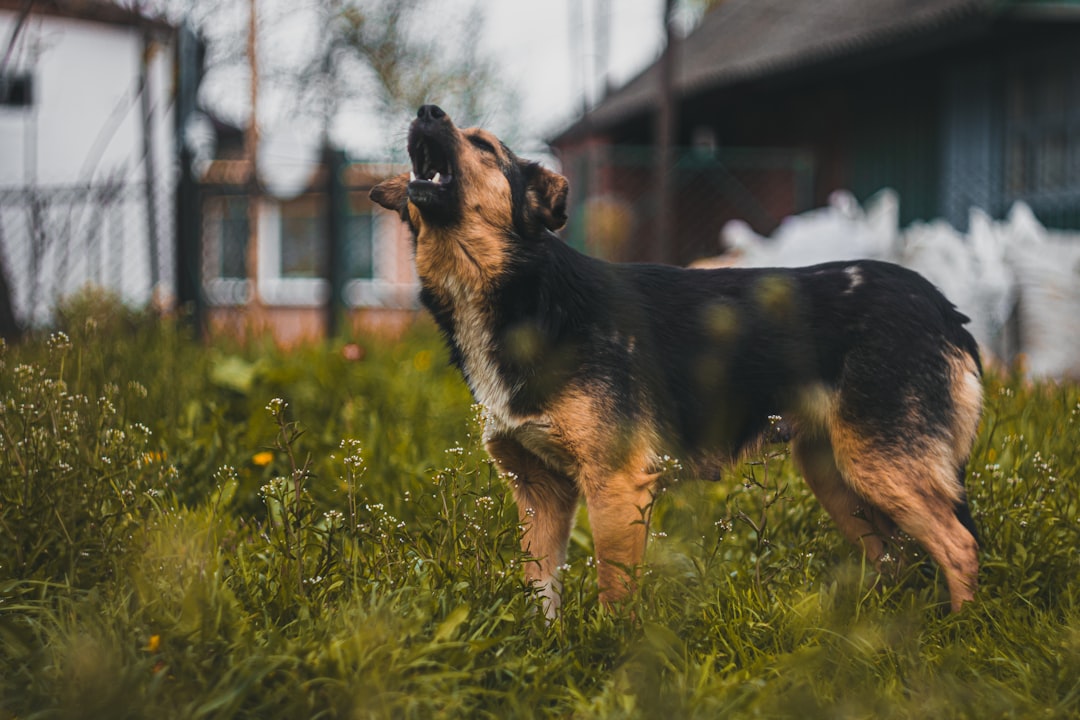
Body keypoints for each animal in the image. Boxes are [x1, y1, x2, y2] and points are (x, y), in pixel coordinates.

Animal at [373, 104, 989, 617]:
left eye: (483, 145)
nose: (427, 111)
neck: (521, 293)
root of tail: (942, 307)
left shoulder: (616, 484)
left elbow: (614, 593)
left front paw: (607, 657)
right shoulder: (540, 493)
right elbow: (540, 594)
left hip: (878, 465)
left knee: (959, 546)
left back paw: (958, 637)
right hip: (836, 473)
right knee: (898, 557)